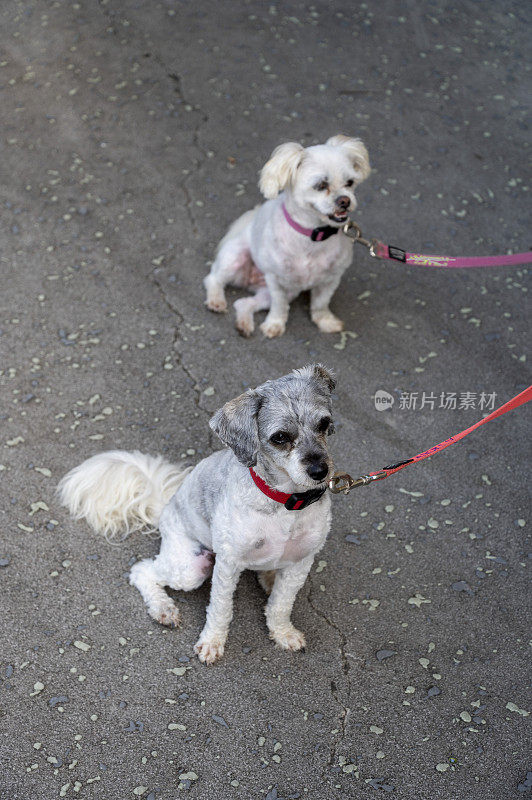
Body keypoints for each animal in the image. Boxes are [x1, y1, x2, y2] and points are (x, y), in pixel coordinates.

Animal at [59, 366, 336, 664]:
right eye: (280, 437)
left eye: (324, 423)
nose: (320, 471)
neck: (286, 503)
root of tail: (167, 505)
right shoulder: (227, 565)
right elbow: (220, 609)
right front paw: (212, 642)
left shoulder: (301, 562)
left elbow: (282, 604)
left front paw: (282, 632)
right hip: (190, 567)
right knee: (142, 571)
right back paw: (163, 607)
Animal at [204, 134, 370, 338]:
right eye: (321, 185)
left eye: (350, 182)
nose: (345, 201)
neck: (312, 235)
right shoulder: (277, 282)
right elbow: (279, 306)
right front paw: (274, 324)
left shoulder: (331, 279)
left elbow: (320, 304)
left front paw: (325, 322)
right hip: (235, 259)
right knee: (213, 279)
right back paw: (216, 301)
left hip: (272, 292)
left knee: (243, 303)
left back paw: (244, 324)